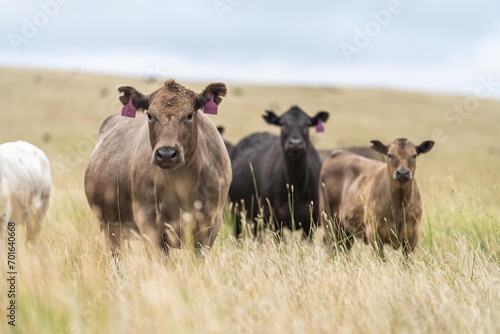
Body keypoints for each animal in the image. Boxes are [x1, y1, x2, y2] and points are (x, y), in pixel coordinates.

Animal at [84, 79, 232, 260]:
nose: (167, 153)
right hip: (110, 227)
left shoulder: (209, 227)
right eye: (150, 115)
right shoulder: (150, 227)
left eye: (190, 115)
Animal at [229, 106, 328, 237]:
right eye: (283, 124)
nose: (295, 144)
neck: (296, 186)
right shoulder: (275, 219)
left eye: (307, 124)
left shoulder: (310, 223)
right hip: (237, 212)